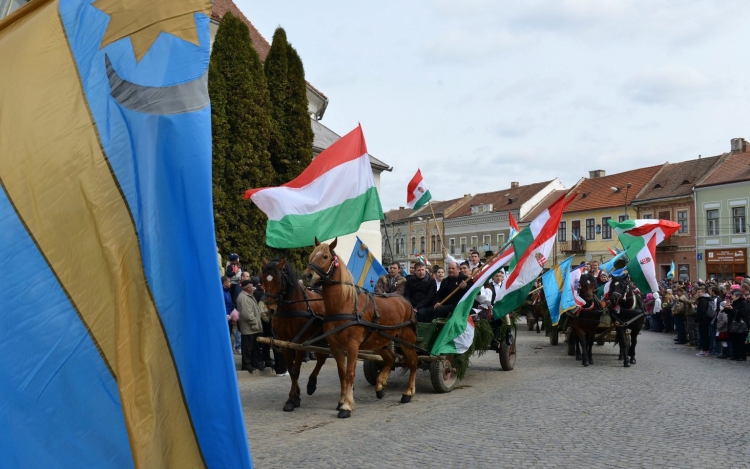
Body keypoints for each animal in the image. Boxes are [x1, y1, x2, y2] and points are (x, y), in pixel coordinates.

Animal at [262, 258, 328, 412]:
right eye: (263, 280)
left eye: (278, 281)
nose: (270, 309)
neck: (290, 309)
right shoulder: (285, 342)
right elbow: (291, 370)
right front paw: (295, 397)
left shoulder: (299, 343)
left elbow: (296, 370)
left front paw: (292, 399)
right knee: (322, 358)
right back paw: (311, 383)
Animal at [302, 238, 420, 416]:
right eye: (311, 255)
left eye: (325, 256)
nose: (306, 276)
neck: (344, 304)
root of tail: (405, 301)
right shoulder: (335, 346)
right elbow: (342, 374)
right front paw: (341, 401)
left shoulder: (353, 346)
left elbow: (350, 374)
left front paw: (347, 406)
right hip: (378, 341)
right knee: (390, 359)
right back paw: (380, 385)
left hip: (407, 340)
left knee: (413, 363)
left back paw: (408, 392)